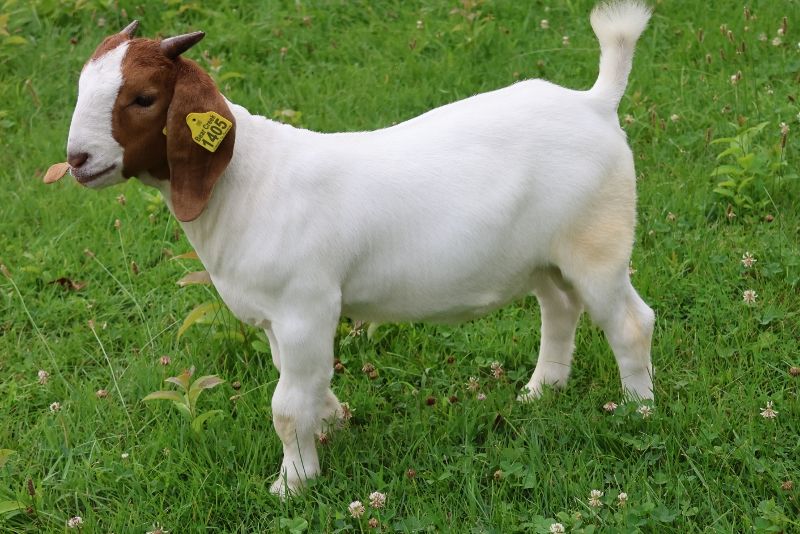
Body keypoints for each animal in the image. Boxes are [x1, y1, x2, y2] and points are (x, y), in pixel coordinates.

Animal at [52, 1, 654, 496]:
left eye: (144, 98)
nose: (78, 159)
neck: (247, 182)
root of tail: (595, 102)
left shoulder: (304, 306)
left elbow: (286, 405)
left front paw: (293, 483)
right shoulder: (279, 319)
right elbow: (301, 383)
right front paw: (331, 421)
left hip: (597, 241)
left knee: (629, 322)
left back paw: (637, 412)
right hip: (542, 256)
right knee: (560, 307)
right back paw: (540, 391)